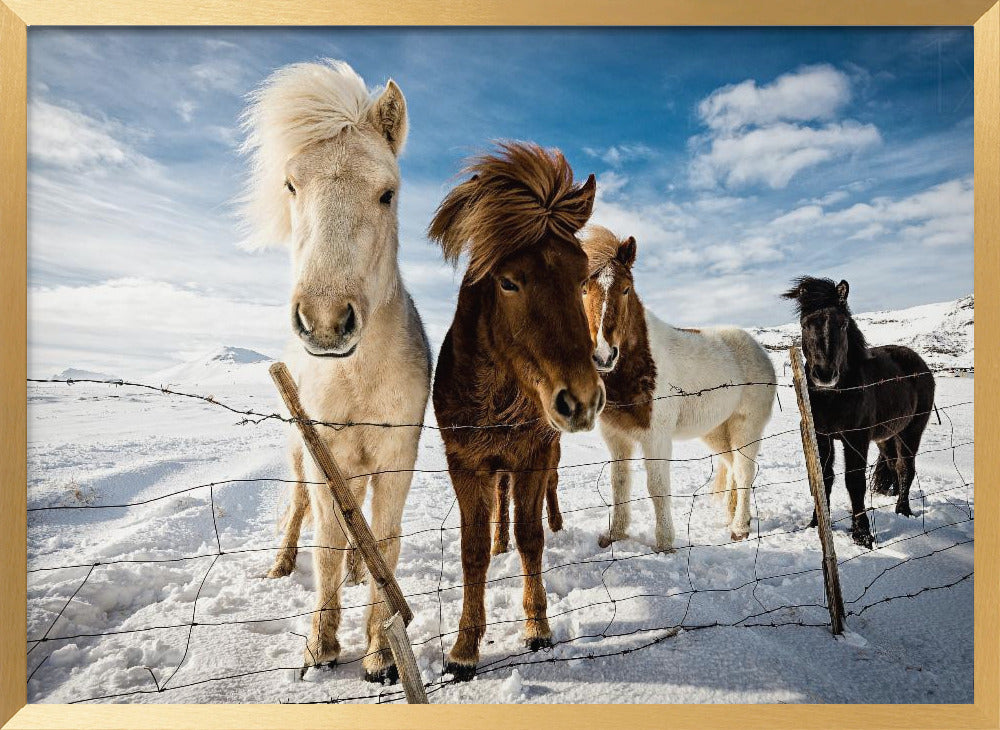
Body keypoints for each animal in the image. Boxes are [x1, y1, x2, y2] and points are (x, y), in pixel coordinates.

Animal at [244, 59, 432, 680]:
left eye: (387, 193)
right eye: (291, 184)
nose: (326, 322)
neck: (358, 379)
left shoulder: (396, 459)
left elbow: (385, 543)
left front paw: (380, 654)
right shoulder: (326, 453)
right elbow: (325, 543)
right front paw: (320, 647)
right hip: (302, 454)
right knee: (301, 507)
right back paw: (281, 566)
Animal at [428, 141, 600, 676]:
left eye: (582, 277)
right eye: (507, 283)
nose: (580, 398)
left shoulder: (532, 458)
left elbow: (531, 538)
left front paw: (537, 627)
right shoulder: (465, 464)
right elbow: (474, 550)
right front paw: (464, 649)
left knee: (550, 495)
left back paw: (557, 524)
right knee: (499, 507)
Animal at [580, 225, 772, 548]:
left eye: (626, 288)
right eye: (583, 289)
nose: (603, 355)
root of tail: (759, 349)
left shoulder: (656, 437)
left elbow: (657, 486)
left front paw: (665, 543)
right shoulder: (616, 437)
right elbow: (620, 483)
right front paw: (614, 534)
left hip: (746, 427)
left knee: (745, 471)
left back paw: (739, 528)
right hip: (716, 431)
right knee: (733, 466)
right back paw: (732, 517)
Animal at [780, 278, 936, 544]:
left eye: (842, 324)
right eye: (805, 324)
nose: (824, 374)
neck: (833, 397)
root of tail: (919, 364)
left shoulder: (856, 438)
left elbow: (854, 481)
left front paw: (862, 534)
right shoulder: (821, 437)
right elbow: (824, 479)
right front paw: (816, 524)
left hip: (911, 431)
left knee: (906, 468)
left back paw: (903, 510)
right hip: (886, 436)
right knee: (894, 466)